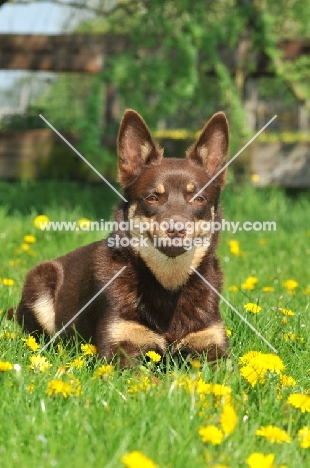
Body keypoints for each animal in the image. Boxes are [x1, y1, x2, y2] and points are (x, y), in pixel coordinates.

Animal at [13, 109, 228, 366]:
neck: (168, 284)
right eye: (152, 198)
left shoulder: (212, 347)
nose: (176, 229)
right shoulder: (119, 349)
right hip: (41, 282)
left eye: (198, 199)